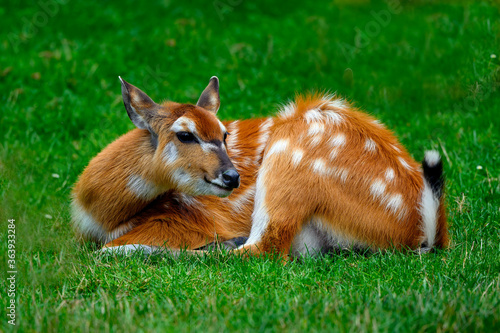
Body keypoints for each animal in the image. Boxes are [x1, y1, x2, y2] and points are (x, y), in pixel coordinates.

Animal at [72, 76, 452, 256]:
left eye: (225, 134)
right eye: (185, 134)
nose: (232, 176)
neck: (98, 214)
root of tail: (421, 230)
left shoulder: (186, 217)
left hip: (289, 155)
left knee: (262, 251)